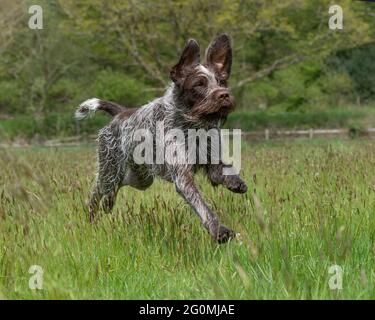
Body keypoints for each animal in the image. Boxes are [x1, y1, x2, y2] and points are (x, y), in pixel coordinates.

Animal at [75, 33, 248, 242]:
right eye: (199, 84)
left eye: (222, 82)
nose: (224, 95)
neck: (192, 127)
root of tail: (120, 113)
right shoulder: (183, 177)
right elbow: (204, 208)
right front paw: (219, 231)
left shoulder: (212, 163)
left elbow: (225, 171)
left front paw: (235, 182)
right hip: (110, 172)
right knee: (95, 194)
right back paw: (91, 220)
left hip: (140, 178)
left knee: (114, 191)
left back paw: (107, 205)